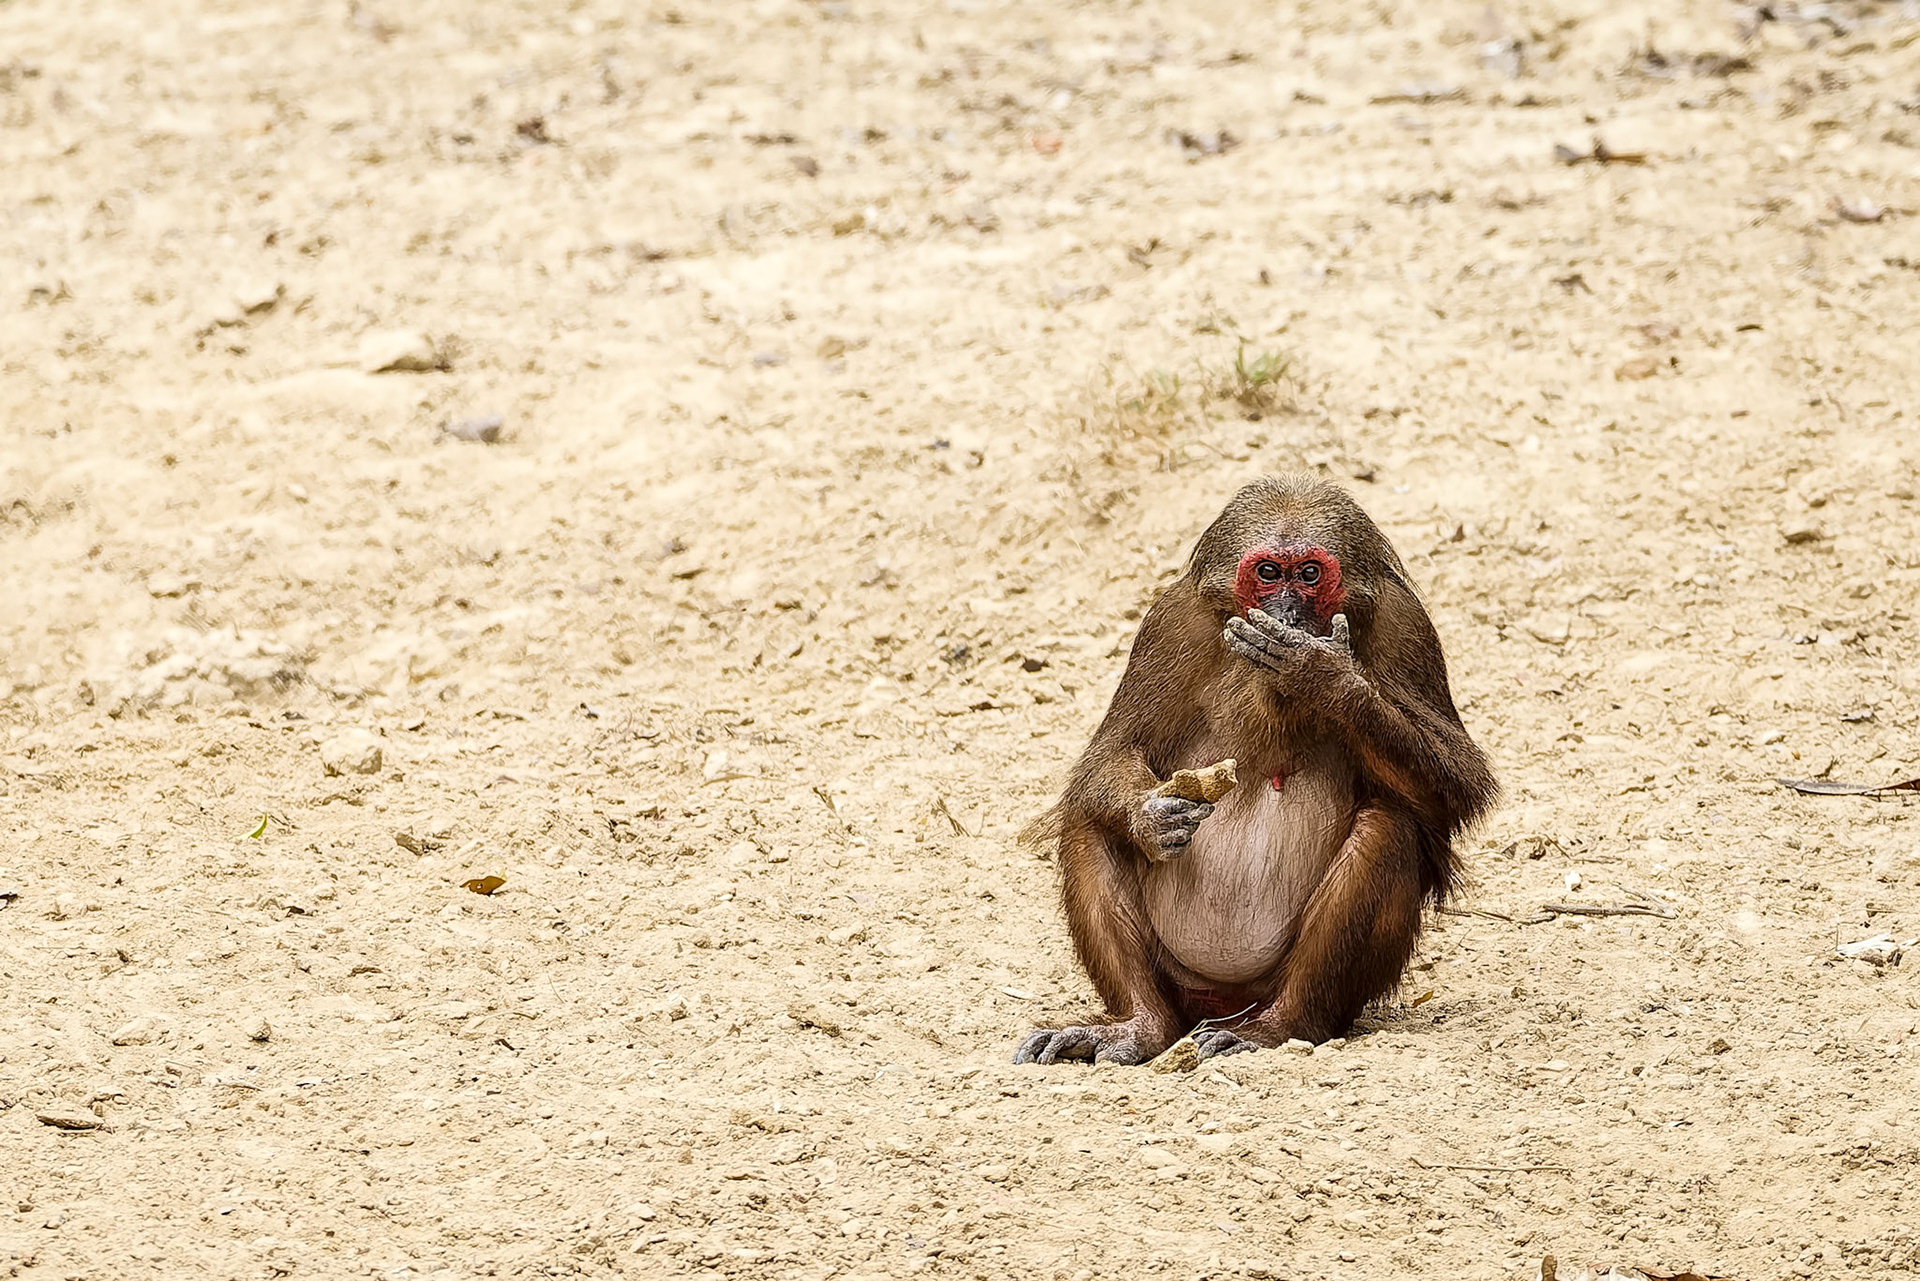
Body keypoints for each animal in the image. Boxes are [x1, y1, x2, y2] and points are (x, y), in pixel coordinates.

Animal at [1015, 475, 1496, 1065]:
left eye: (1308, 574)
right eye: (1268, 572)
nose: (1286, 612)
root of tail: (1220, 1004)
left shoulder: (1406, 626)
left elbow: (1457, 782)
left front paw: (1322, 674)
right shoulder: (1169, 624)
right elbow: (1113, 754)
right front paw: (1153, 816)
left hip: (1272, 993)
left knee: (1388, 829)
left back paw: (1279, 1027)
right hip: (1181, 987)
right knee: (1088, 826)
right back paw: (1138, 1026)